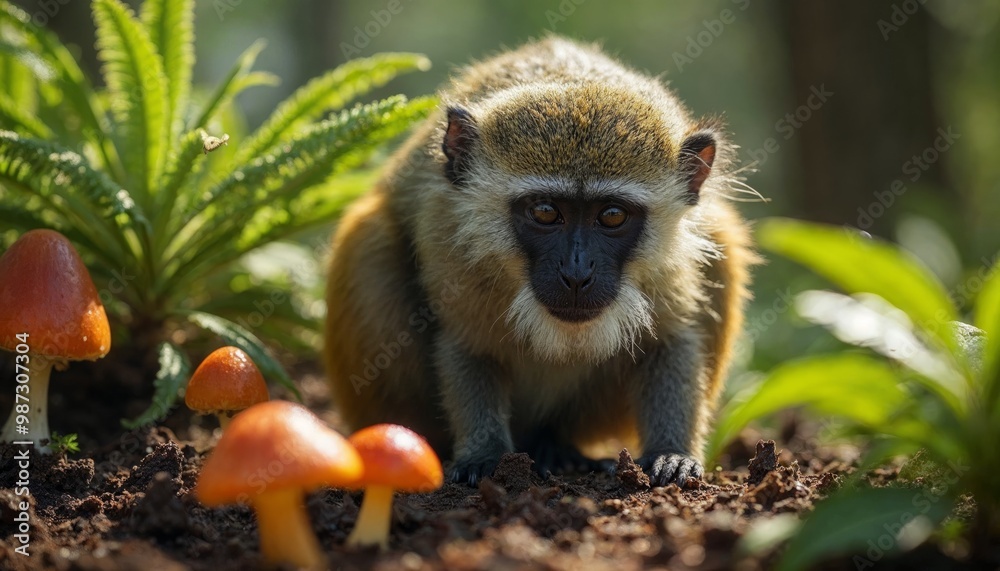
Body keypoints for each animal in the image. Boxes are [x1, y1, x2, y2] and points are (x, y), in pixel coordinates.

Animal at [324, 37, 755, 487]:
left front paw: (671, 451)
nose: (577, 274)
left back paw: (557, 446)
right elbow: (466, 345)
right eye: (546, 212)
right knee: (367, 240)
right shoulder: (446, 235)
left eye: (612, 216)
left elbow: (671, 339)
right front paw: (484, 453)